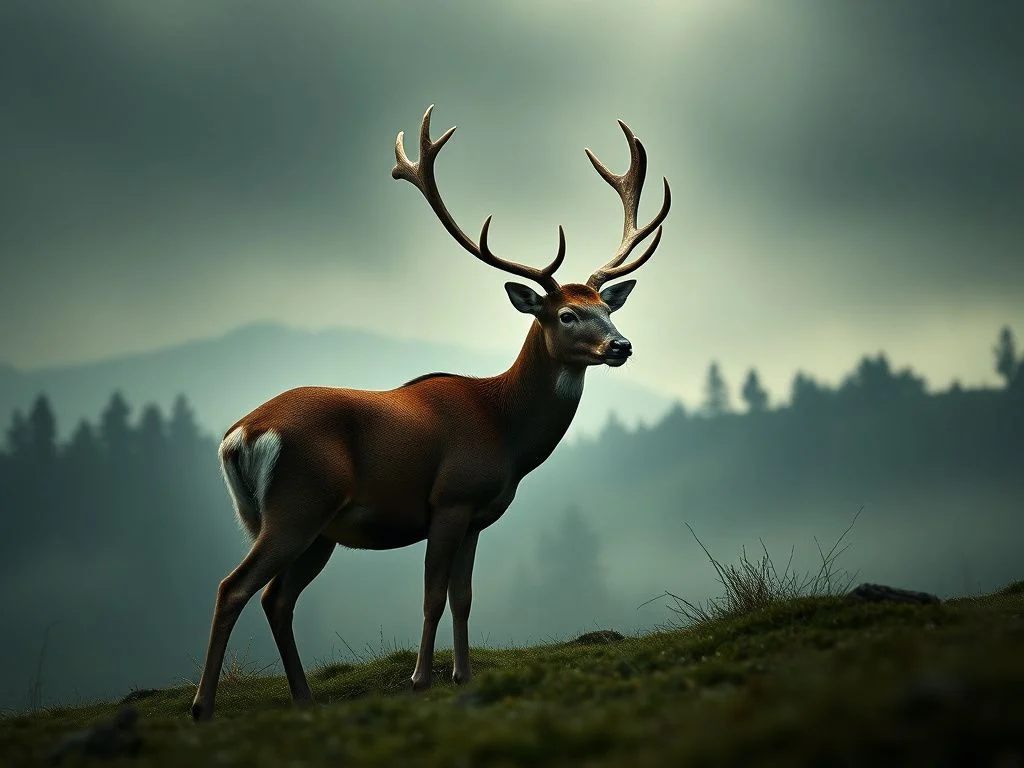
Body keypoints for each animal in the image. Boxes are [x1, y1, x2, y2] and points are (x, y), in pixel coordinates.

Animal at [190, 105, 671, 721]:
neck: (503, 429)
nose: (621, 346)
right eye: (566, 314)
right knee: (235, 587)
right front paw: (420, 678)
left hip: (311, 526)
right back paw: (203, 706)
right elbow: (432, 595)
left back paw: (303, 697)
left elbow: (463, 597)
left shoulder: (478, 515)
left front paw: (463, 673)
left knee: (277, 599)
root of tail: (240, 436)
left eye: (607, 308)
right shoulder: (450, 497)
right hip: (297, 504)